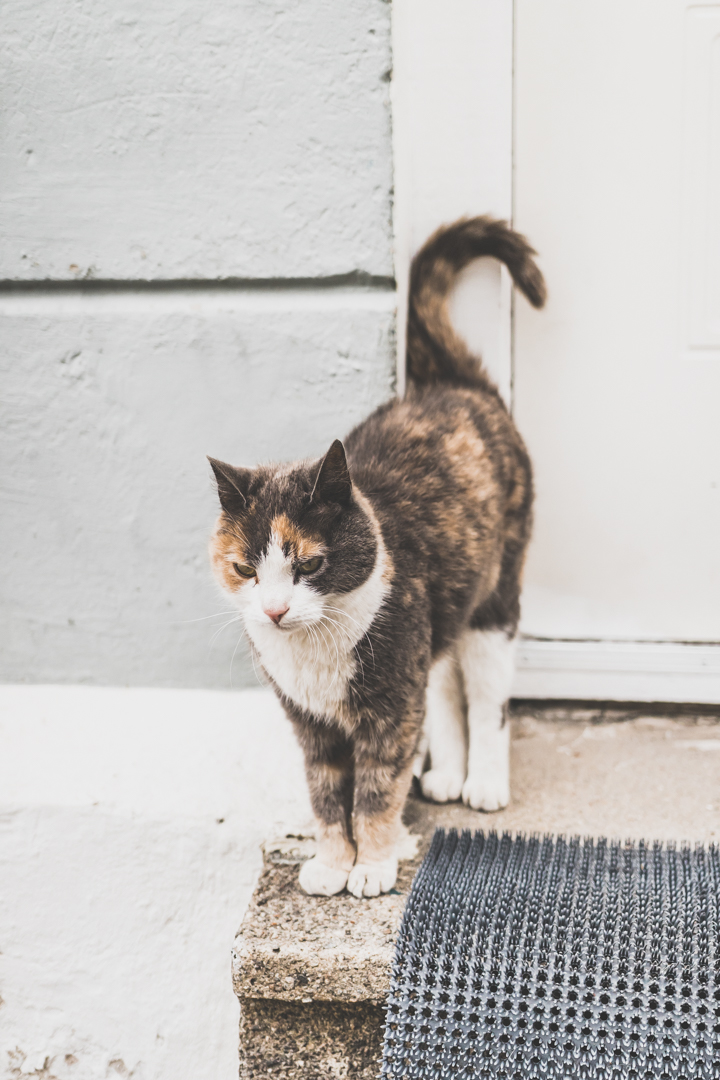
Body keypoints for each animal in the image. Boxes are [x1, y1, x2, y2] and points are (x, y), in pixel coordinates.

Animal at [208, 214, 546, 898]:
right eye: (246, 569)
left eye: (309, 564)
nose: (275, 610)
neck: (313, 655)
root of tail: (452, 384)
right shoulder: (309, 725)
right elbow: (324, 796)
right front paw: (332, 863)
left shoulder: (389, 710)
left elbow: (375, 790)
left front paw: (373, 865)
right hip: (439, 616)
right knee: (442, 681)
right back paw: (446, 773)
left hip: (495, 599)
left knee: (487, 695)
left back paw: (483, 783)